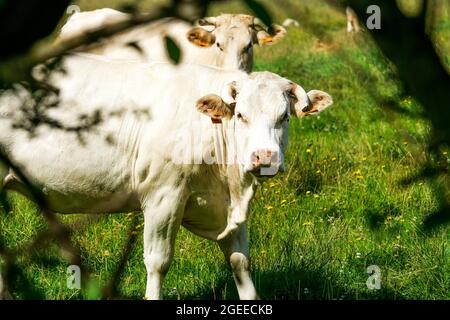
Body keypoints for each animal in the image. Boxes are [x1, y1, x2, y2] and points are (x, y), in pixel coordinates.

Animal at [0, 53, 330, 298]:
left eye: (284, 116)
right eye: (240, 115)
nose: (264, 157)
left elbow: (241, 262)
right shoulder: (163, 196)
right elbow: (158, 262)